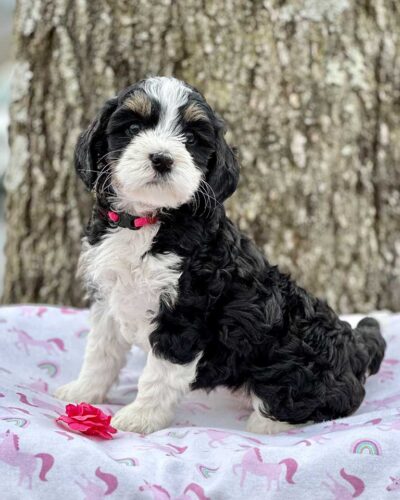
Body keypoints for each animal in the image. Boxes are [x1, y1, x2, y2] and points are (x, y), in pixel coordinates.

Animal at [54, 75, 386, 434]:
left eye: (190, 138)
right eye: (132, 127)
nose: (162, 158)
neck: (149, 221)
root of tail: (354, 347)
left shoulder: (185, 313)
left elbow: (158, 374)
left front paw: (140, 418)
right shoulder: (108, 297)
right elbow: (100, 352)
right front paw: (83, 391)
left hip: (295, 356)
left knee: (327, 399)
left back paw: (268, 421)